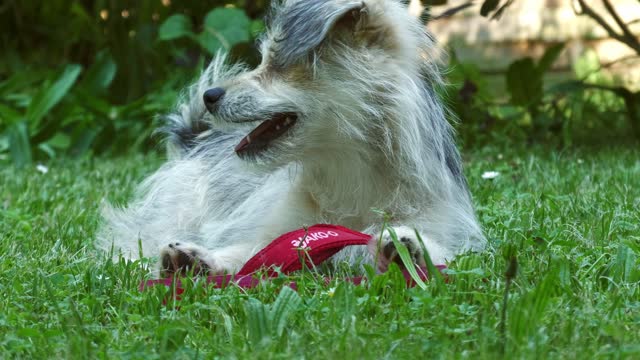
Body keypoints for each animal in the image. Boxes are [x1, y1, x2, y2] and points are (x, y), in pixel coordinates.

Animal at [96, 0, 484, 278]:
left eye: (277, 64)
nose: (210, 96)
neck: (349, 173)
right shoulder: (279, 234)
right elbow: (247, 254)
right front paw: (200, 261)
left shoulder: (440, 225)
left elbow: (438, 251)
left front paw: (406, 250)